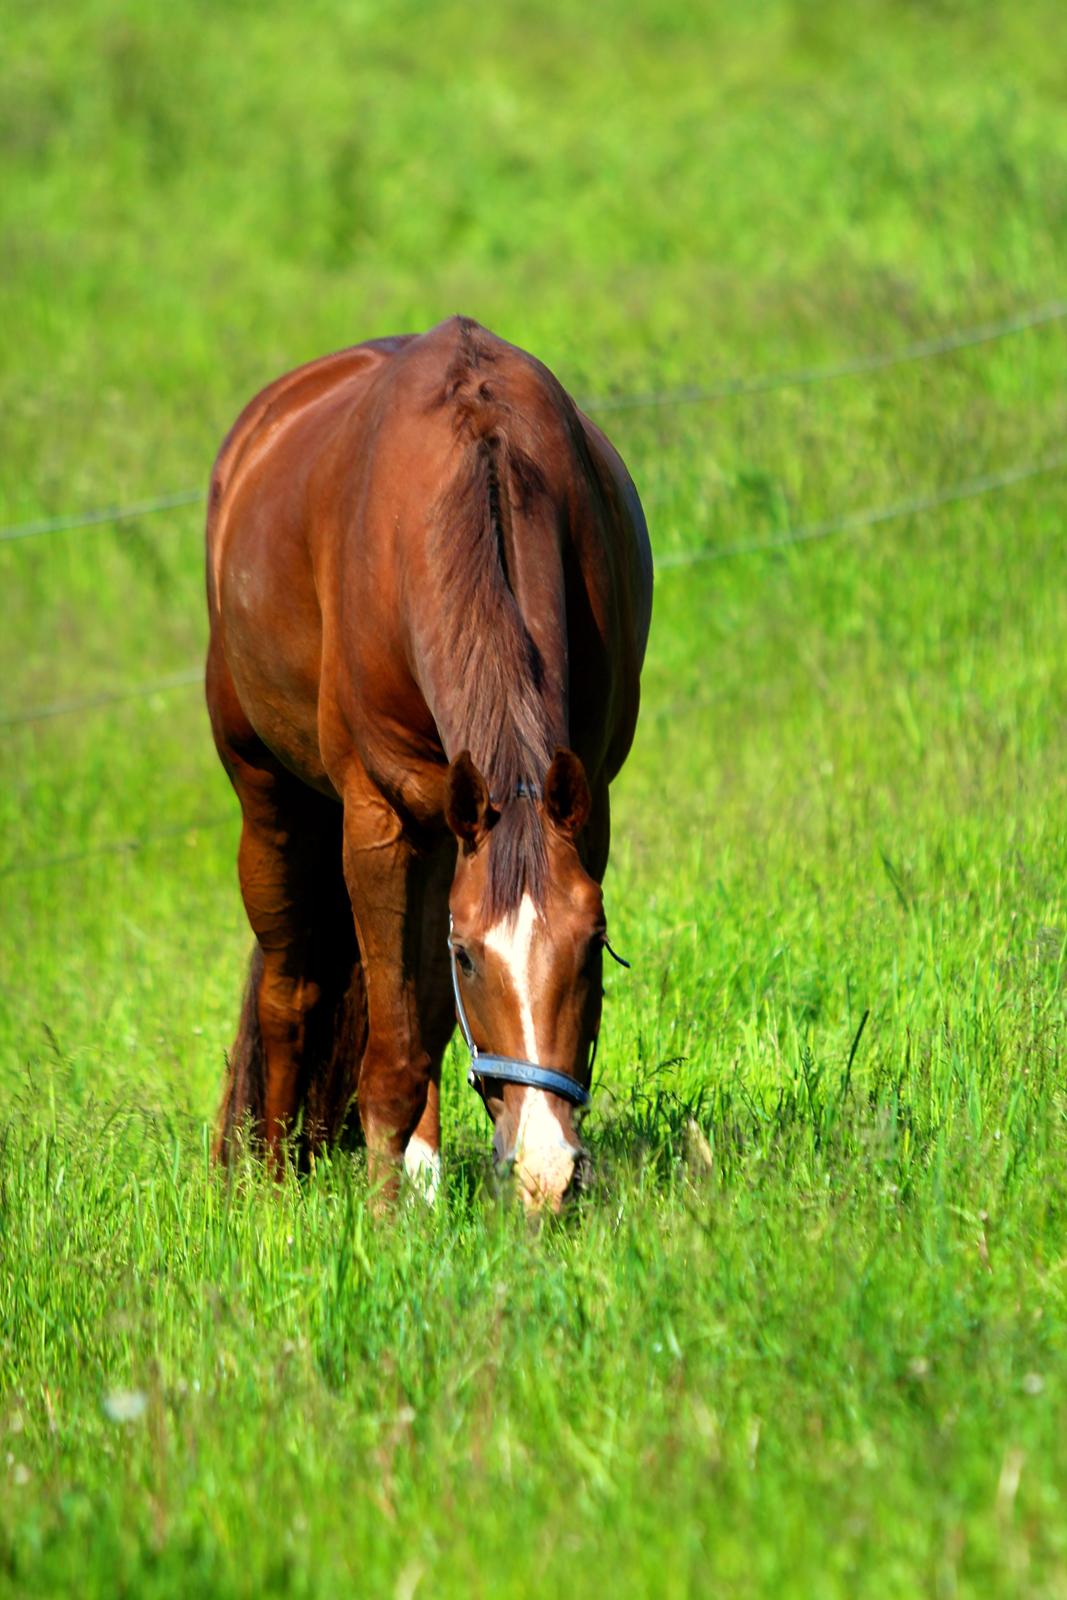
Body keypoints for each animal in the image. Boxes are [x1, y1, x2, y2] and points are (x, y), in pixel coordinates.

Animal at [201, 315, 652, 1209]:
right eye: (471, 955)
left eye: (592, 945)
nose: (548, 1173)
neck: (478, 466)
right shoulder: (379, 820)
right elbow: (392, 1051)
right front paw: (381, 1222)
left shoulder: (575, 802)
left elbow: (426, 1017)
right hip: (269, 801)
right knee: (289, 990)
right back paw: (270, 1187)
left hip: (451, 822)